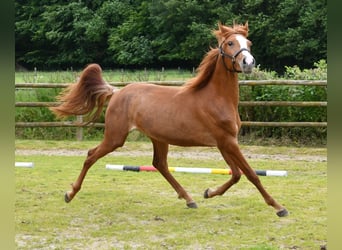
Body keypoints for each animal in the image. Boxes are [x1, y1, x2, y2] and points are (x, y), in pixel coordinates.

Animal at [51, 22, 288, 217]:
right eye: (230, 43)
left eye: (248, 43)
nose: (249, 62)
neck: (216, 98)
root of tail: (117, 92)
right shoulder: (228, 142)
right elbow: (251, 174)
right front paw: (278, 207)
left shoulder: (224, 143)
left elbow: (237, 174)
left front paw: (208, 192)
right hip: (115, 137)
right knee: (91, 155)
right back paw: (70, 194)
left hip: (158, 138)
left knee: (160, 164)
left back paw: (189, 199)